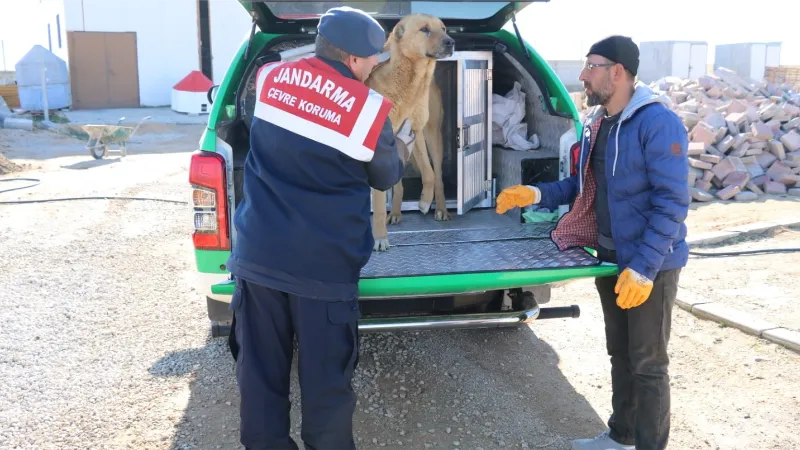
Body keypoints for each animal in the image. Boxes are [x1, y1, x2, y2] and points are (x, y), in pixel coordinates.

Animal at [366, 14, 454, 251]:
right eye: (424, 29)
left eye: (443, 28)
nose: (451, 42)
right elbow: (379, 202)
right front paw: (379, 237)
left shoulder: (416, 132)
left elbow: (430, 174)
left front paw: (424, 201)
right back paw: (396, 212)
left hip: (432, 136)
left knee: (438, 174)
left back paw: (441, 208)